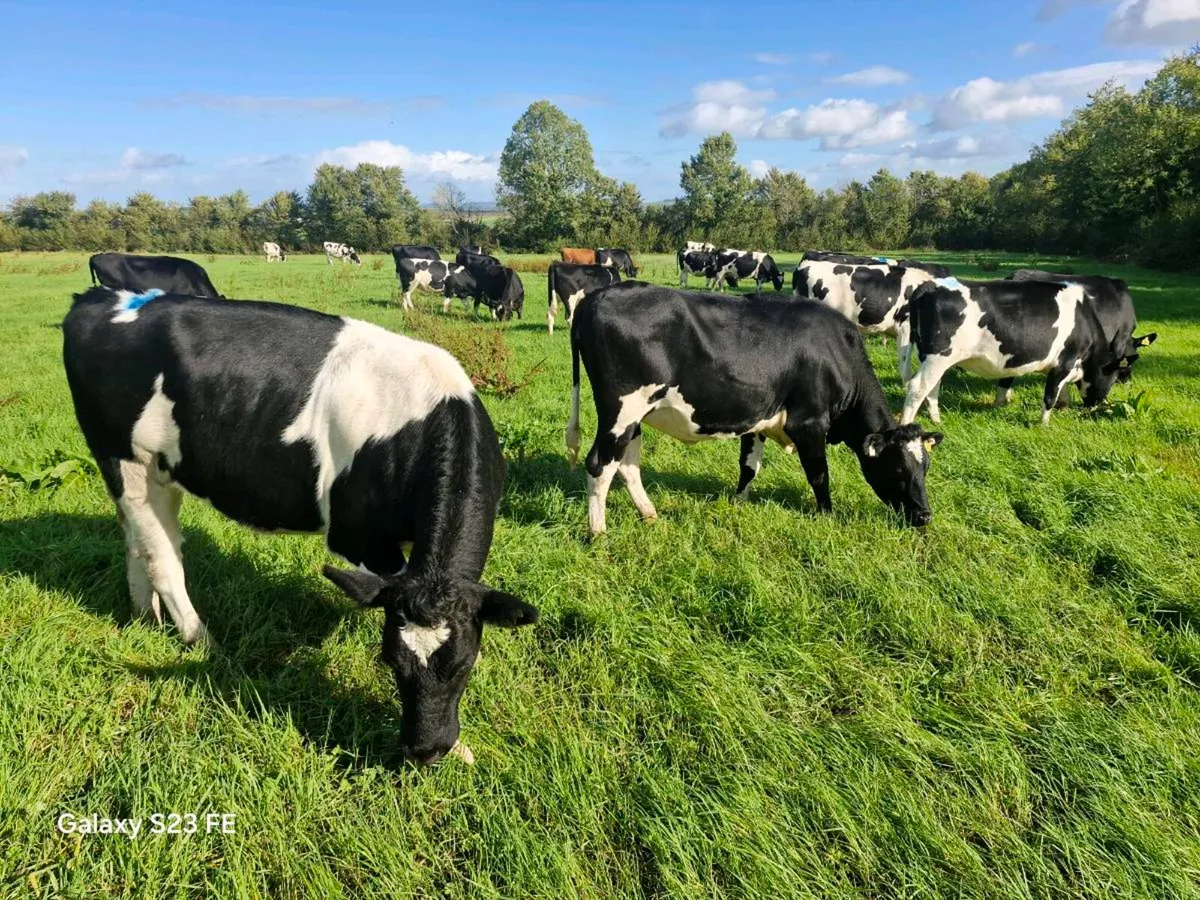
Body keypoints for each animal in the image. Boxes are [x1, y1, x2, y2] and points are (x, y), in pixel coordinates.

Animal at [62, 286, 538, 766]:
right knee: (163, 560)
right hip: (128, 461)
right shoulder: (359, 538)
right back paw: (203, 642)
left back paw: (143, 615)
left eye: (462, 664)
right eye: (390, 661)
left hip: (153, 473)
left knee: (134, 540)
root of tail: (101, 297)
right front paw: (461, 749)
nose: (425, 751)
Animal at [566, 283, 944, 534]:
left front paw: (738, 502)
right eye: (898, 469)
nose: (925, 516)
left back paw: (648, 513)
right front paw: (827, 514)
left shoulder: (759, 418)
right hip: (622, 410)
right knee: (600, 464)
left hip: (634, 416)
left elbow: (749, 466)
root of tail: (599, 294)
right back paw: (598, 533)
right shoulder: (808, 423)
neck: (835, 352)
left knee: (627, 463)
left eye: (925, 468)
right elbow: (819, 473)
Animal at [901, 278, 1136, 426]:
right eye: (1113, 380)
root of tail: (930, 286)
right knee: (917, 387)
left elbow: (1059, 391)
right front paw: (1043, 424)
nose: (1096, 407)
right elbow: (1050, 395)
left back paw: (936, 419)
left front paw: (1063, 407)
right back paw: (907, 425)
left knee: (932, 388)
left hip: (933, 358)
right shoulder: (1065, 361)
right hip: (938, 357)